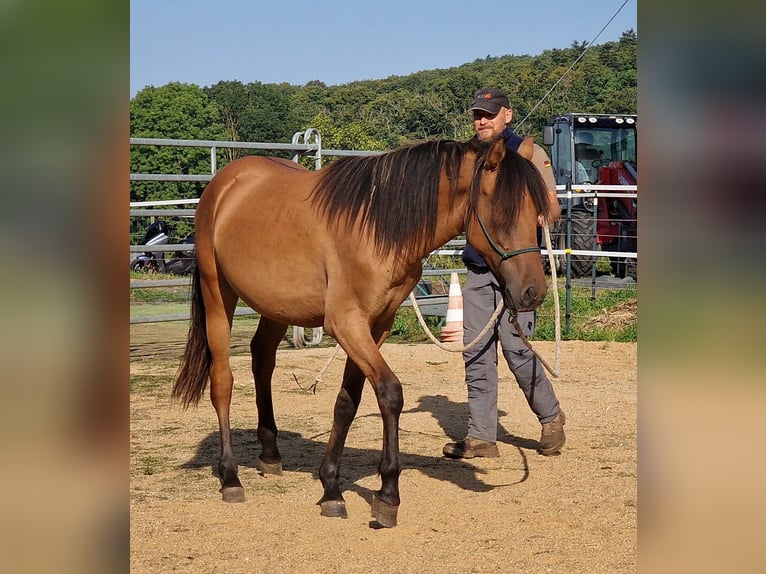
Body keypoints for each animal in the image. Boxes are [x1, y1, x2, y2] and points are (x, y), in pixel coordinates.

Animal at [172, 135, 553, 528]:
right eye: (502, 212)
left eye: (537, 212)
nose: (533, 292)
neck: (376, 228)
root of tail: (225, 182)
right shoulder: (347, 324)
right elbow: (390, 393)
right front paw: (387, 496)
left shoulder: (376, 325)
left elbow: (347, 403)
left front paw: (331, 488)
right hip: (218, 296)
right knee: (222, 382)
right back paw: (230, 476)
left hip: (276, 308)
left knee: (262, 360)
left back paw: (270, 454)